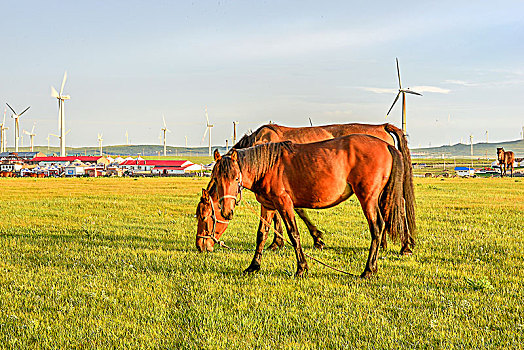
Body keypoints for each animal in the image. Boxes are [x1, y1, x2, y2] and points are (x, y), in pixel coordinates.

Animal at [211, 134, 416, 278]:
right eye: (216, 178)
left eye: (235, 178)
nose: (227, 212)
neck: (268, 166)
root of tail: (387, 145)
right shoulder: (268, 206)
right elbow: (261, 235)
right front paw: (253, 266)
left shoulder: (284, 203)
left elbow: (293, 234)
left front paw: (302, 268)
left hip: (368, 198)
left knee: (377, 227)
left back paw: (368, 270)